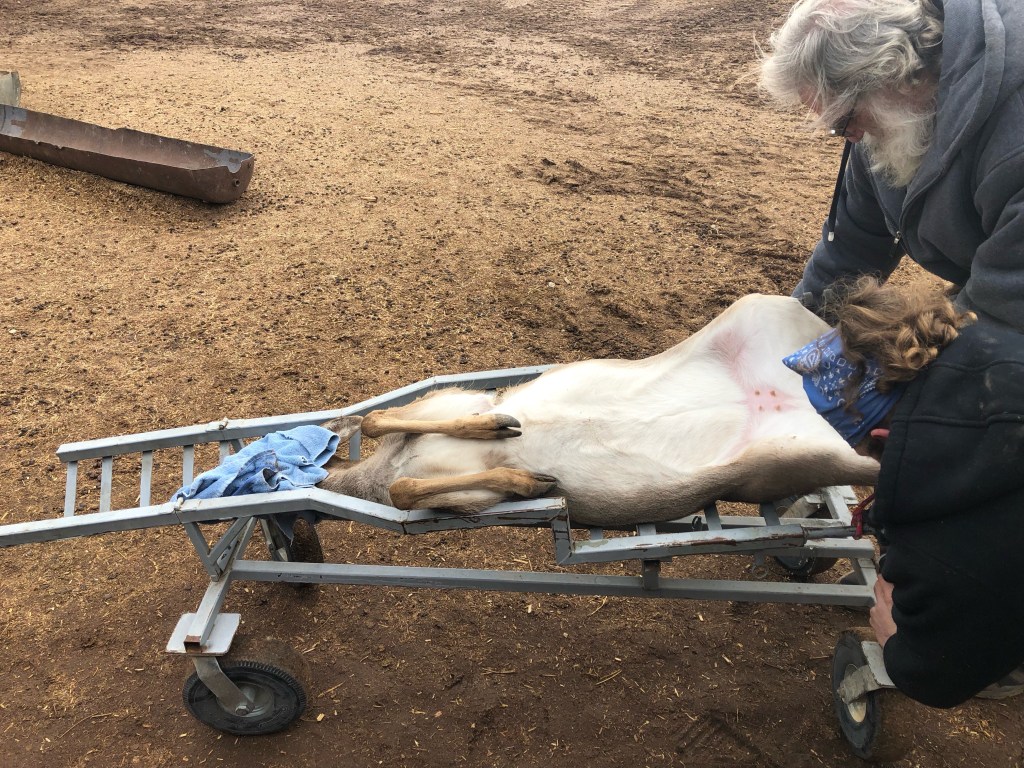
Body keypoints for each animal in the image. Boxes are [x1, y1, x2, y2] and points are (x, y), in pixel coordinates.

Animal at [318, 294, 880, 526]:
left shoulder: (455, 399)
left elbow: (382, 427)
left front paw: (504, 436)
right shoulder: (469, 494)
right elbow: (400, 466)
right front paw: (526, 474)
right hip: (814, 447)